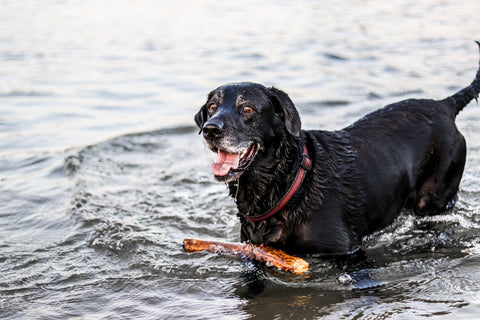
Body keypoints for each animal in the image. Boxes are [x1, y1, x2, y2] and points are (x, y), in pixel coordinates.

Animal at [195, 43, 480, 256]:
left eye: (248, 109)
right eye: (212, 107)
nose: (210, 129)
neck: (288, 183)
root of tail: (445, 105)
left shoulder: (347, 252)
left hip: (435, 196)